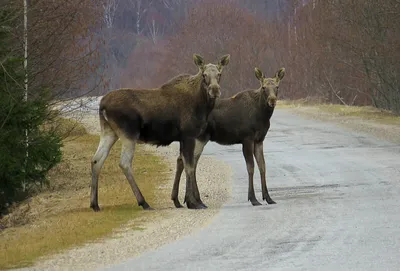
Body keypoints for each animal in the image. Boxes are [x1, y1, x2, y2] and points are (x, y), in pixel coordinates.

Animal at [89, 54, 230, 212]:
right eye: (204, 74)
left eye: (219, 74)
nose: (215, 90)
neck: (203, 106)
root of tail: (102, 106)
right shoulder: (188, 135)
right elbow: (189, 166)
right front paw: (192, 202)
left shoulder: (184, 138)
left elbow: (184, 163)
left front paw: (182, 200)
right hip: (128, 134)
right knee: (124, 163)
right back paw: (143, 202)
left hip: (109, 132)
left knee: (96, 160)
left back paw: (95, 204)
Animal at [171, 67, 284, 209]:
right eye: (264, 87)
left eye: (277, 87)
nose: (272, 100)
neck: (262, 116)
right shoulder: (247, 138)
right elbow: (250, 167)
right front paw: (253, 199)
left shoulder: (259, 140)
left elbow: (262, 166)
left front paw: (268, 198)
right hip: (199, 138)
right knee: (188, 162)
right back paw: (191, 200)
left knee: (185, 161)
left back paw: (183, 200)